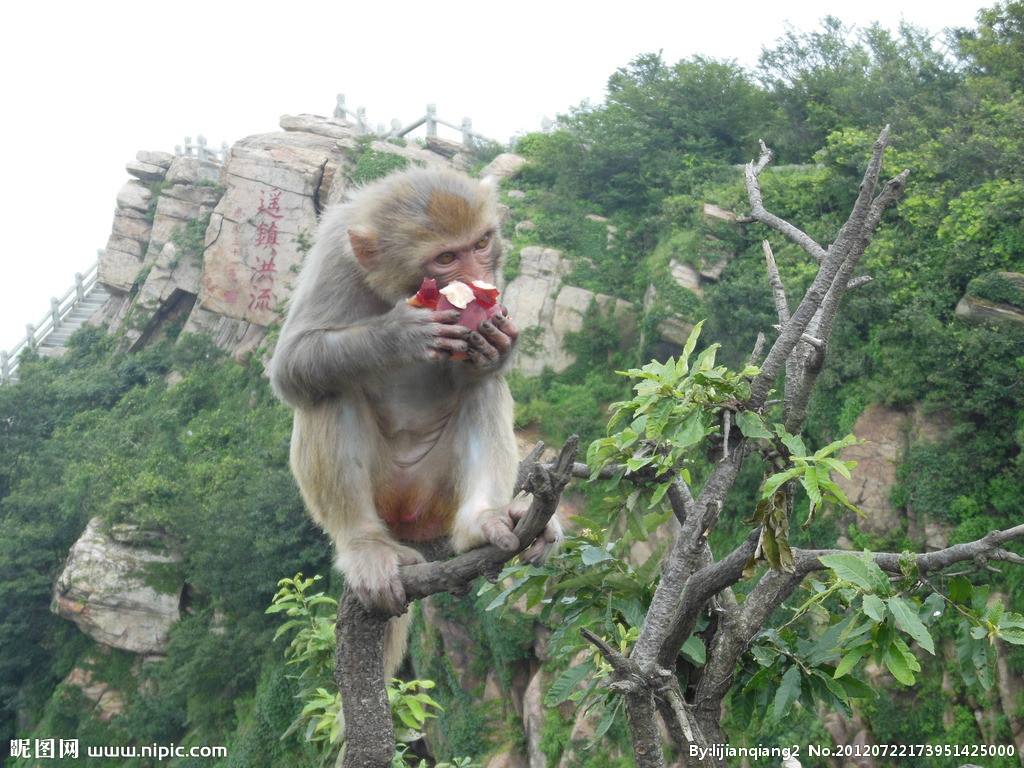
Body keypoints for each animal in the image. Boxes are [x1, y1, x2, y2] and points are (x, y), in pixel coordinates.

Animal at [268, 166, 565, 671]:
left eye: (481, 243)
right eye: (445, 257)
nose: (478, 280)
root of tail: (407, 520)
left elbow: (482, 371)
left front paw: (498, 343)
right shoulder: (332, 257)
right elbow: (291, 366)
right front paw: (398, 335)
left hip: (438, 497)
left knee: (482, 388)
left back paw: (484, 522)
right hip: (387, 494)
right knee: (330, 392)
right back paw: (365, 545)